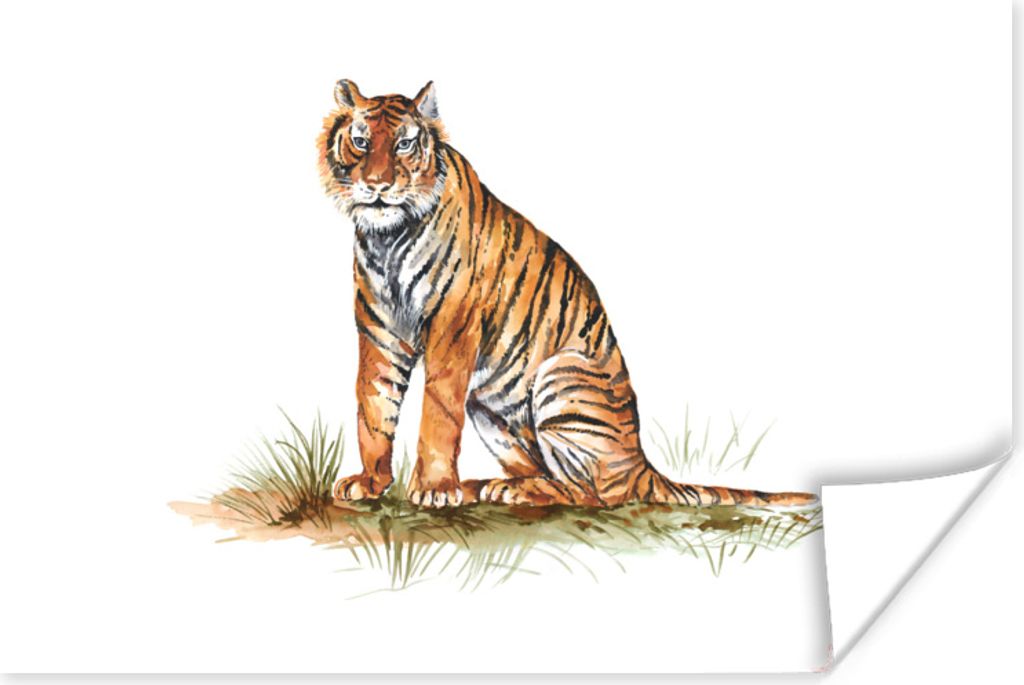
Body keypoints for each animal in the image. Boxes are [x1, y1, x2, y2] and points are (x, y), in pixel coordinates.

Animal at [318, 79, 816, 509]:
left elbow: (437, 414)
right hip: (491, 411)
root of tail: (643, 463)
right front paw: (370, 481)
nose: (377, 186)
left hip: (561, 375)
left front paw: (435, 489)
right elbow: (373, 407)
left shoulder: (452, 327)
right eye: (361, 141)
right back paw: (486, 485)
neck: (388, 238)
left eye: (404, 144)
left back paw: (506, 490)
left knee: (595, 494)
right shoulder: (379, 328)